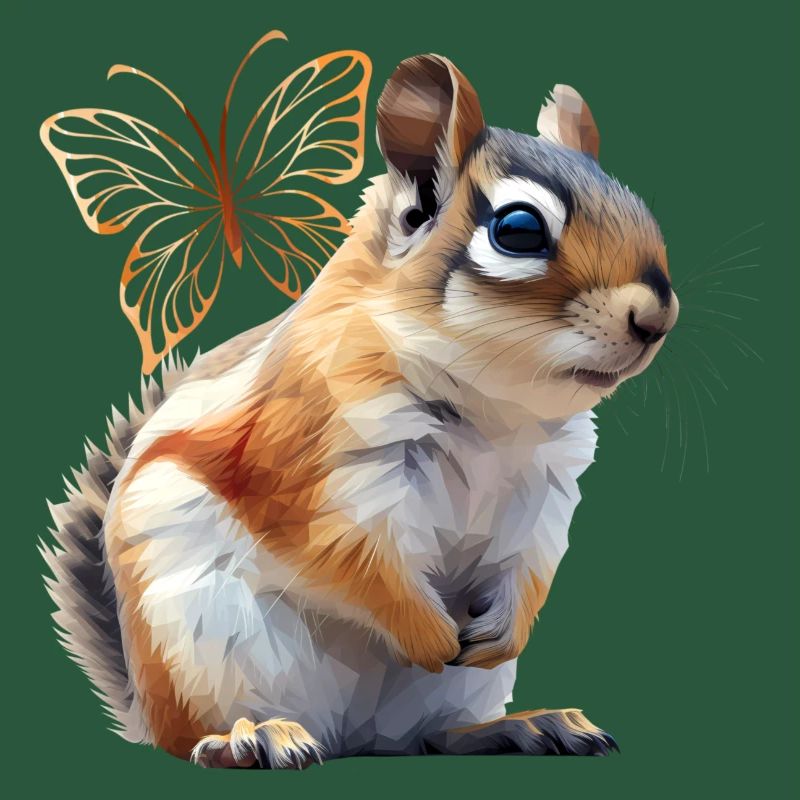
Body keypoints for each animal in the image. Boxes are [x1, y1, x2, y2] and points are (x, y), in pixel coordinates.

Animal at [42, 53, 679, 767]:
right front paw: (430, 634)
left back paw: (524, 726)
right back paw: (252, 737)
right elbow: (354, 560)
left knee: (432, 738)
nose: (657, 317)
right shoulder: (315, 458)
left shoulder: (545, 486)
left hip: (448, 698)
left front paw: (505, 631)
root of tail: (352, 738)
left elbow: (533, 561)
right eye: (518, 230)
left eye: (639, 206)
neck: (496, 410)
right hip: (204, 647)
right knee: (201, 737)